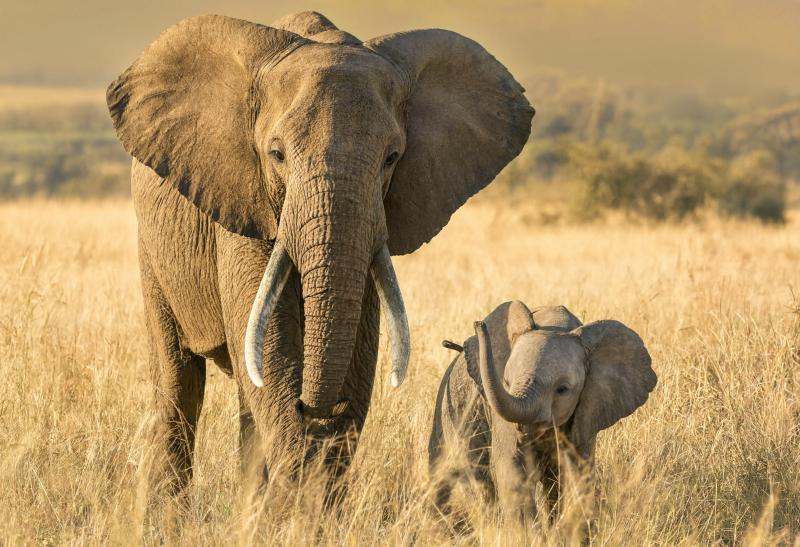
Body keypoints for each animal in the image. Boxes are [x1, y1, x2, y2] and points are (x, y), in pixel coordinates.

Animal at [105, 11, 533, 498]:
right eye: (276, 154)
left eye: (392, 157)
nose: (315, 408)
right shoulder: (244, 203)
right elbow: (272, 348)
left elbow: (359, 346)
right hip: (152, 246)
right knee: (178, 381)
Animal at [428, 301, 656, 524]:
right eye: (507, 382)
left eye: (562, 389)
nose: (478, 323)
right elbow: (511, 469)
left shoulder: (590, 408)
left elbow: (578, 472)